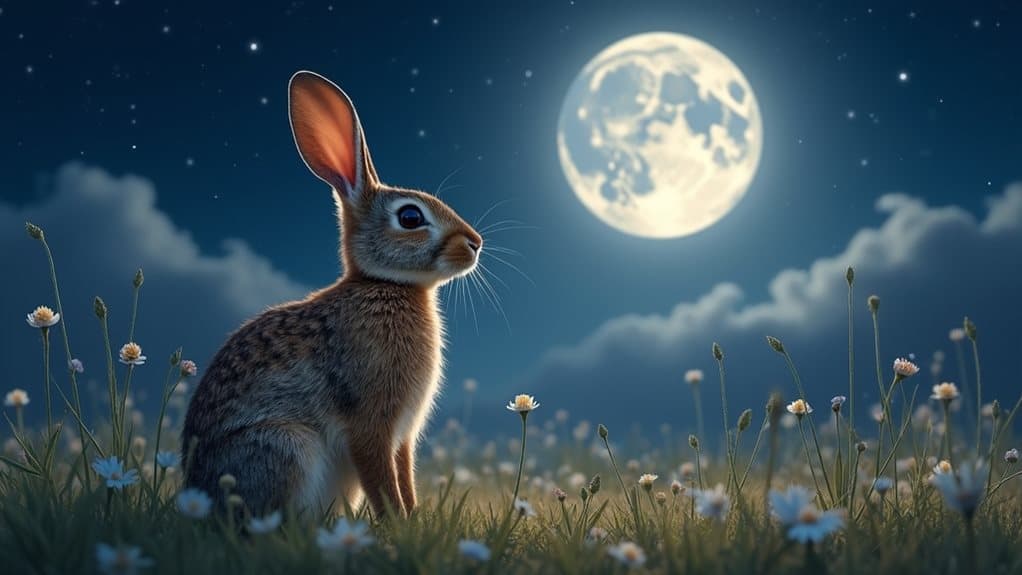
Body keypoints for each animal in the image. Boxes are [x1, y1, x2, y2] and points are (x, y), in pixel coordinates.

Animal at [180, 70, 483, 519]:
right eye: (411, 217)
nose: (476, 243)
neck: (385, 284)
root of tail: (195, 493)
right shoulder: (371, 424)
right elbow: (383, 481)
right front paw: (399, 525)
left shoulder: (402, 436)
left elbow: (404, 476)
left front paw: (414, 520)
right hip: (287, 446)